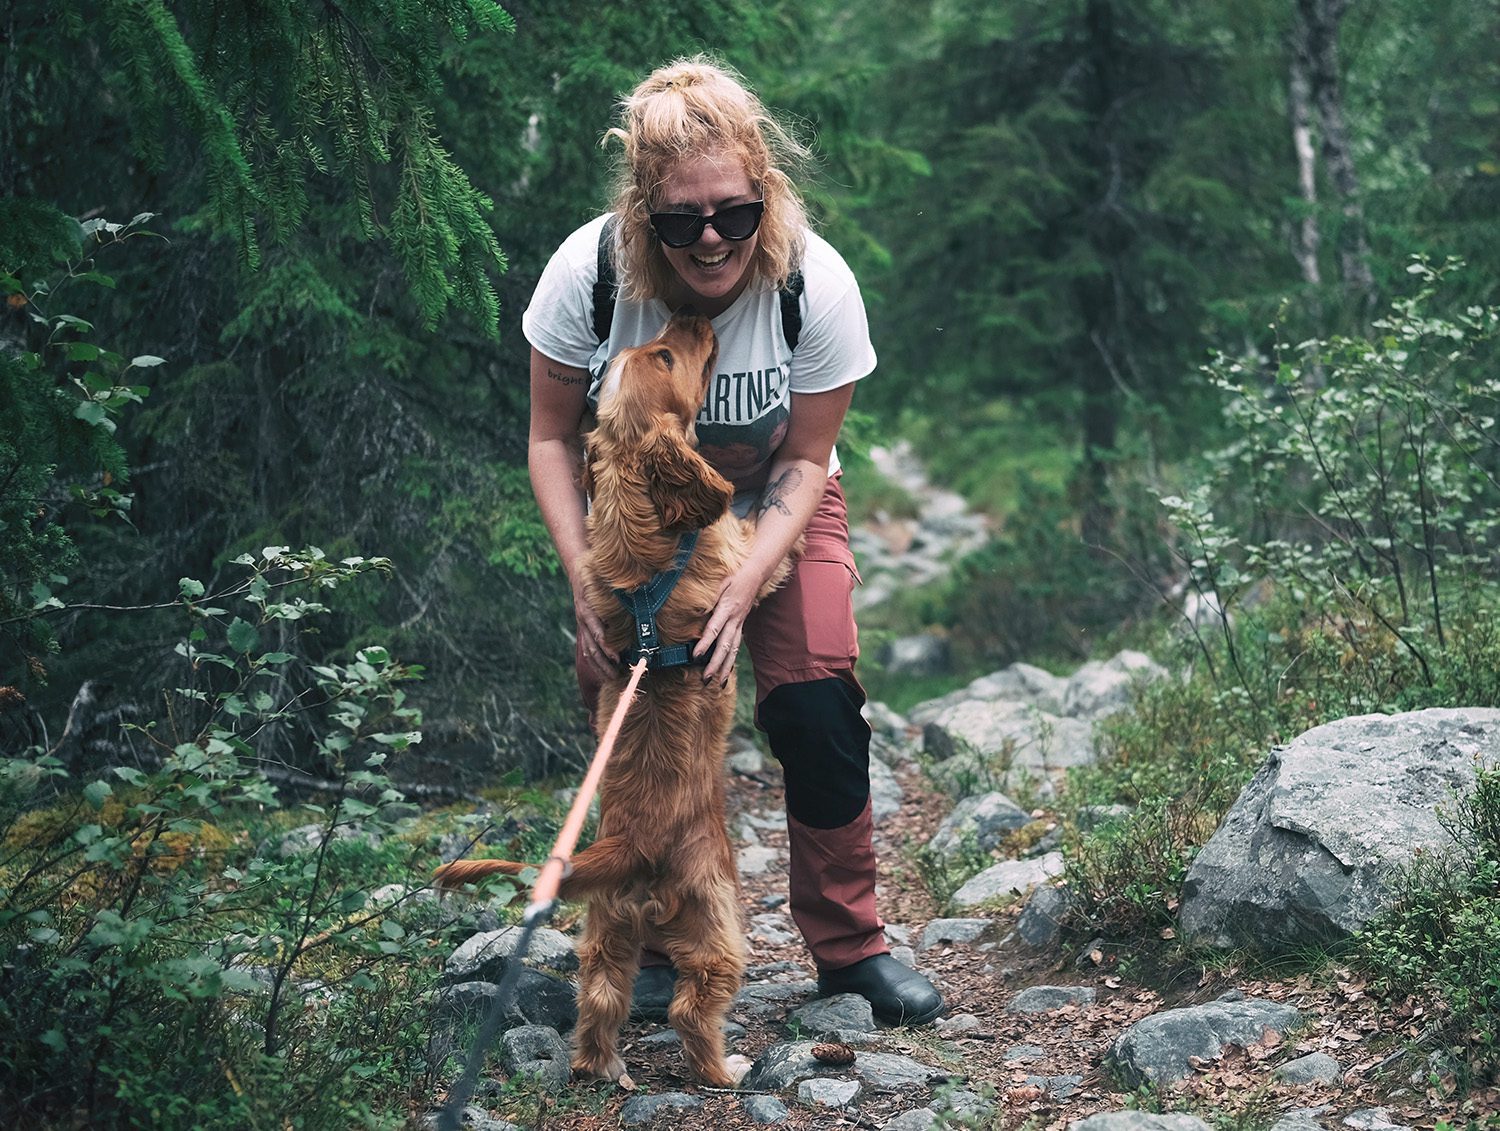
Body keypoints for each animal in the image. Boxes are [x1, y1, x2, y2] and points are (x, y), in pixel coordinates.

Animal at [438, 306, 798, 1086]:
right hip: (717, 917)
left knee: (600, 994)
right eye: (665, 354)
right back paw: (723, 1071)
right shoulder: (732, 549)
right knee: (692, 1006)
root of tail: (631, 845)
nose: (689, 314)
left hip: (607, 925)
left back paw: (599, 1067)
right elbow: (760, 538)